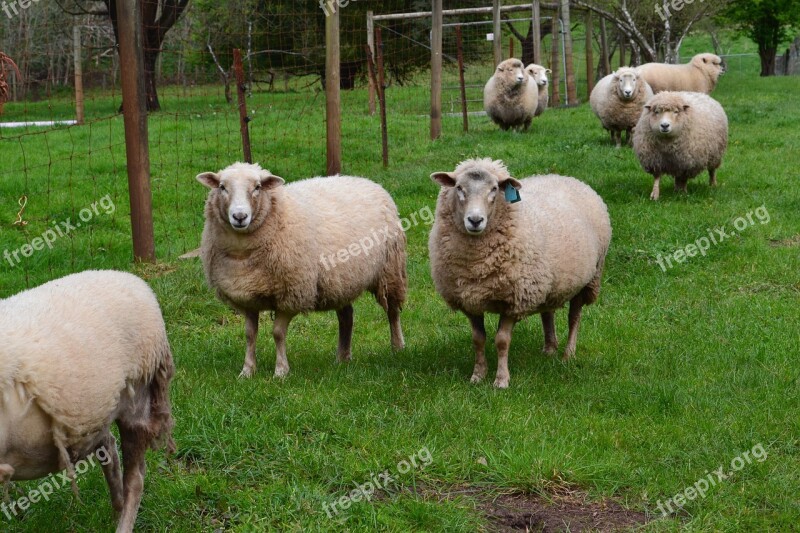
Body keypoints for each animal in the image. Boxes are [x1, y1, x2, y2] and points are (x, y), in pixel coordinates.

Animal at [0, 270, 175, 532]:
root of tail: (131, 279)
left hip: (137, 396)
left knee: (135, 478)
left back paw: (123, 521)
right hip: (94, 413)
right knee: (109, 449)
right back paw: (116, 508)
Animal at [195, 162, 406, 378]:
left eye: (257, 187)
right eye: (222, 187)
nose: (239, 216)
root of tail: (367, 181)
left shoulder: (291, 293)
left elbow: (278, 333)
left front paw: (280, 371)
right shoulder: (247, 297)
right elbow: (250, 335)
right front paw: (247, 371)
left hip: (390, 269)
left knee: (392, 310)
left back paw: (397, 347)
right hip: (341, 280)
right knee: (346, 316)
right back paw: (342, 358)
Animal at [432, 158, 612, 386]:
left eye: (494, 189)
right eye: (459, 188)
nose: (475, 220)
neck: (477, 265)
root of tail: (566, 177)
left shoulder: (515, 299)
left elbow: (502, 341)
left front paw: (501, 380)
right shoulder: (469, 299)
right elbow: (478, 339)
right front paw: (478, 375)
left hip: (588, 279)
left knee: (574, 317)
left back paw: (567, 354)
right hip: (546, 282)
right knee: (547, 312)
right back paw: (549, 348)